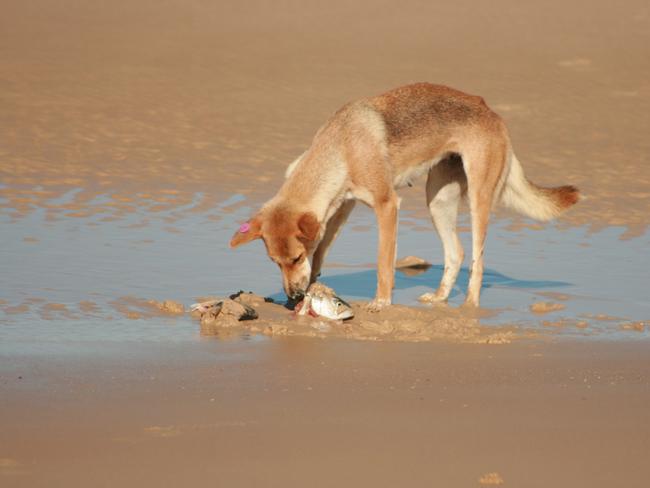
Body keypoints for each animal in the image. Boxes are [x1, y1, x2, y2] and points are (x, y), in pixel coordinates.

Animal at [229, 81, 576, 306]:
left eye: (295, 258)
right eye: (275, 262)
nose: (293, 297)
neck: (343, 146)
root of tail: (489, 109)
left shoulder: (386, 205)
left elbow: (384, 263)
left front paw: (381, 302)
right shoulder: (341, 209)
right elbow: (322, 251)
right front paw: (315, 289)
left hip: (479, 202)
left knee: (477, 262)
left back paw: (469, 308)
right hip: (438, 202)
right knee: (456, 253)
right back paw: (440, 298)